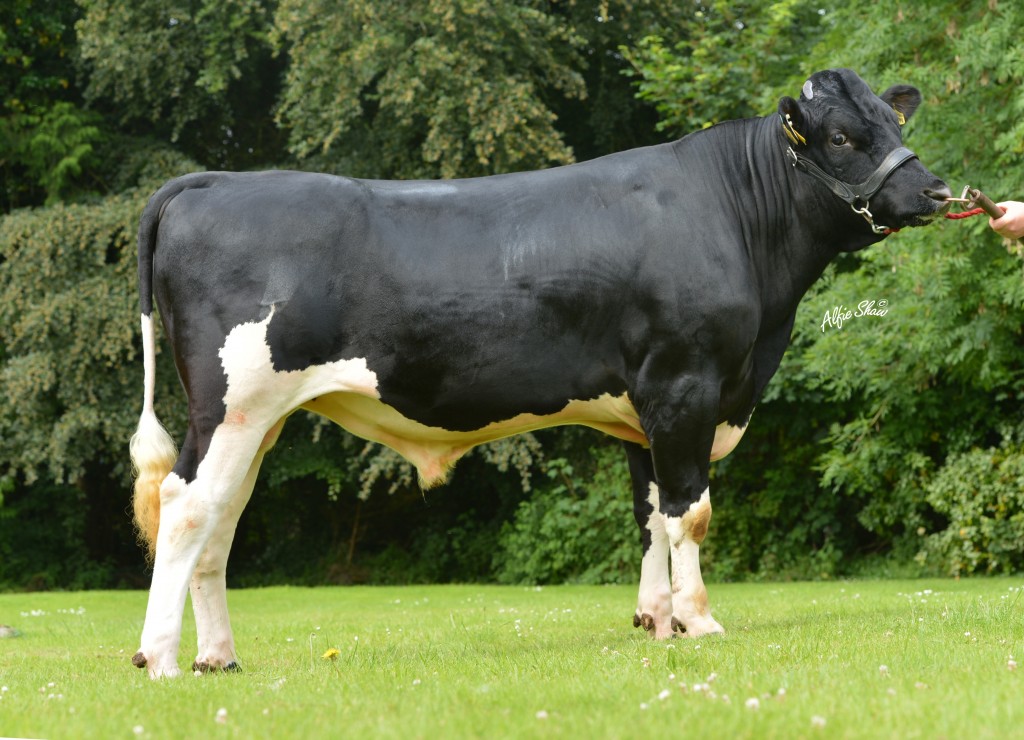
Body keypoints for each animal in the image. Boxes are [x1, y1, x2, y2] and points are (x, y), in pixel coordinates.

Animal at [129, 68, 950, 677]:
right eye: (842, 136)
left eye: (896, 124)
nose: (937, 192)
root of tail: (212, 182)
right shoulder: (685, 385)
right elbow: (690, 511)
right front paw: (700, 620)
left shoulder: (644, 408)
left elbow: (651, 513)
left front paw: (658, 622)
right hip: (232, 404)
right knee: (187, 506)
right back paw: (161, 659)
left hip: (255, 418)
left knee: (222, 517)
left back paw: (218, 657)